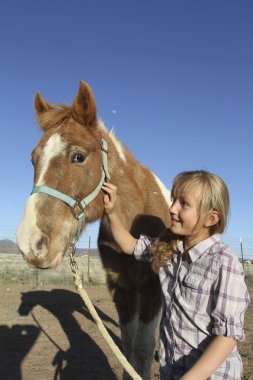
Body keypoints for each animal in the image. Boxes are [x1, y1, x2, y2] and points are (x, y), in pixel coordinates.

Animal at [15, 81, 170, 380]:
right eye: (33, 159)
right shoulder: (121, 287)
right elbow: (127, 345)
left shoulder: (152, 287)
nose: (31, 244)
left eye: (79, 156)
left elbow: (143, 348)